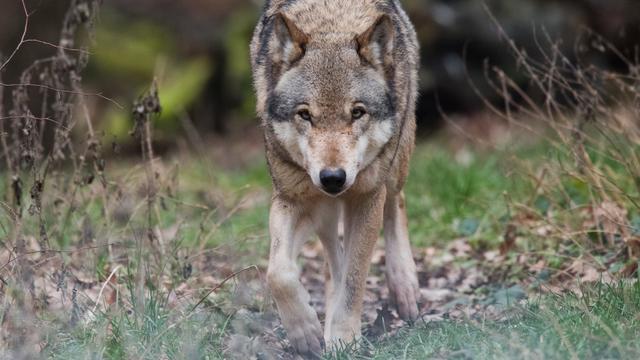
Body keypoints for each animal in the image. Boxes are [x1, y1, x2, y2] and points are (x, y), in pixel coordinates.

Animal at [249, 0, 420, 354]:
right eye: (305, 114)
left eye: (357, 112)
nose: (332, 178)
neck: (332, 23)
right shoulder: (292, 197)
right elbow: (278, 273)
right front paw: (305, 332)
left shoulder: (367, 197)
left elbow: (354, 280)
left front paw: (342, 337)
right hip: (323, 210)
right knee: (331, 255)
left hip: (394, 166)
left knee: (396, 203)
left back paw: (404, 287)